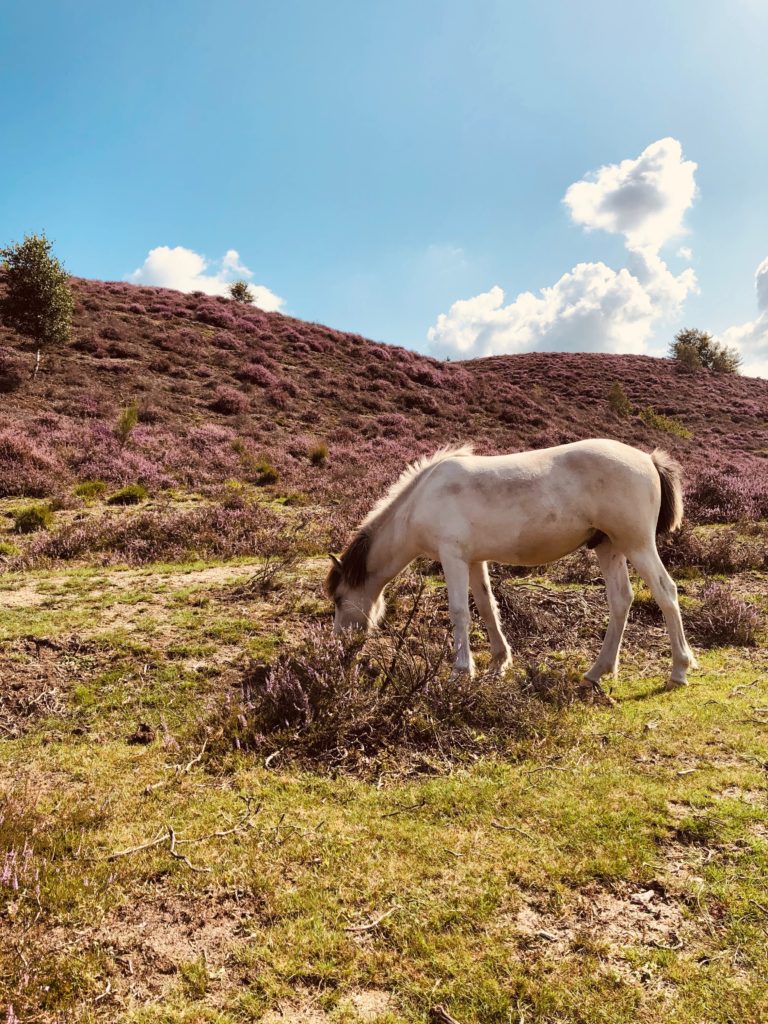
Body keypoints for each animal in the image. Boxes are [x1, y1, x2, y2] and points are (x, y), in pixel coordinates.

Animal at [325, 438, 698, 693]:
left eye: (340, 599)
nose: (339, 649)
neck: (421, 499)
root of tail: (647, 458)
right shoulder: (474, 560)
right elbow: (487, 607)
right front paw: (498, 663)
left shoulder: (453, 557)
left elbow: (460, 611)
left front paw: (462, 671)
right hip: (609, 547)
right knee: (621, 600)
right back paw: (597, 672)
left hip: (637, 544)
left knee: (666, 592)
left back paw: (678, 670)